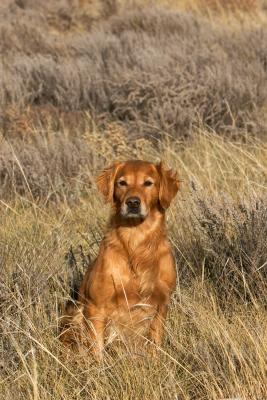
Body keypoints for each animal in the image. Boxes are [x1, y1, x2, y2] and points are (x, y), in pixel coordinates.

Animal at [59, 159, 179, 356]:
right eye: (122, 183)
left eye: (148, 183)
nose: (132, 203)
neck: (136, 243)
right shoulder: (95, 307)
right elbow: (97, 350)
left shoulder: (160, 306)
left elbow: (155, 346)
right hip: (73, 316)